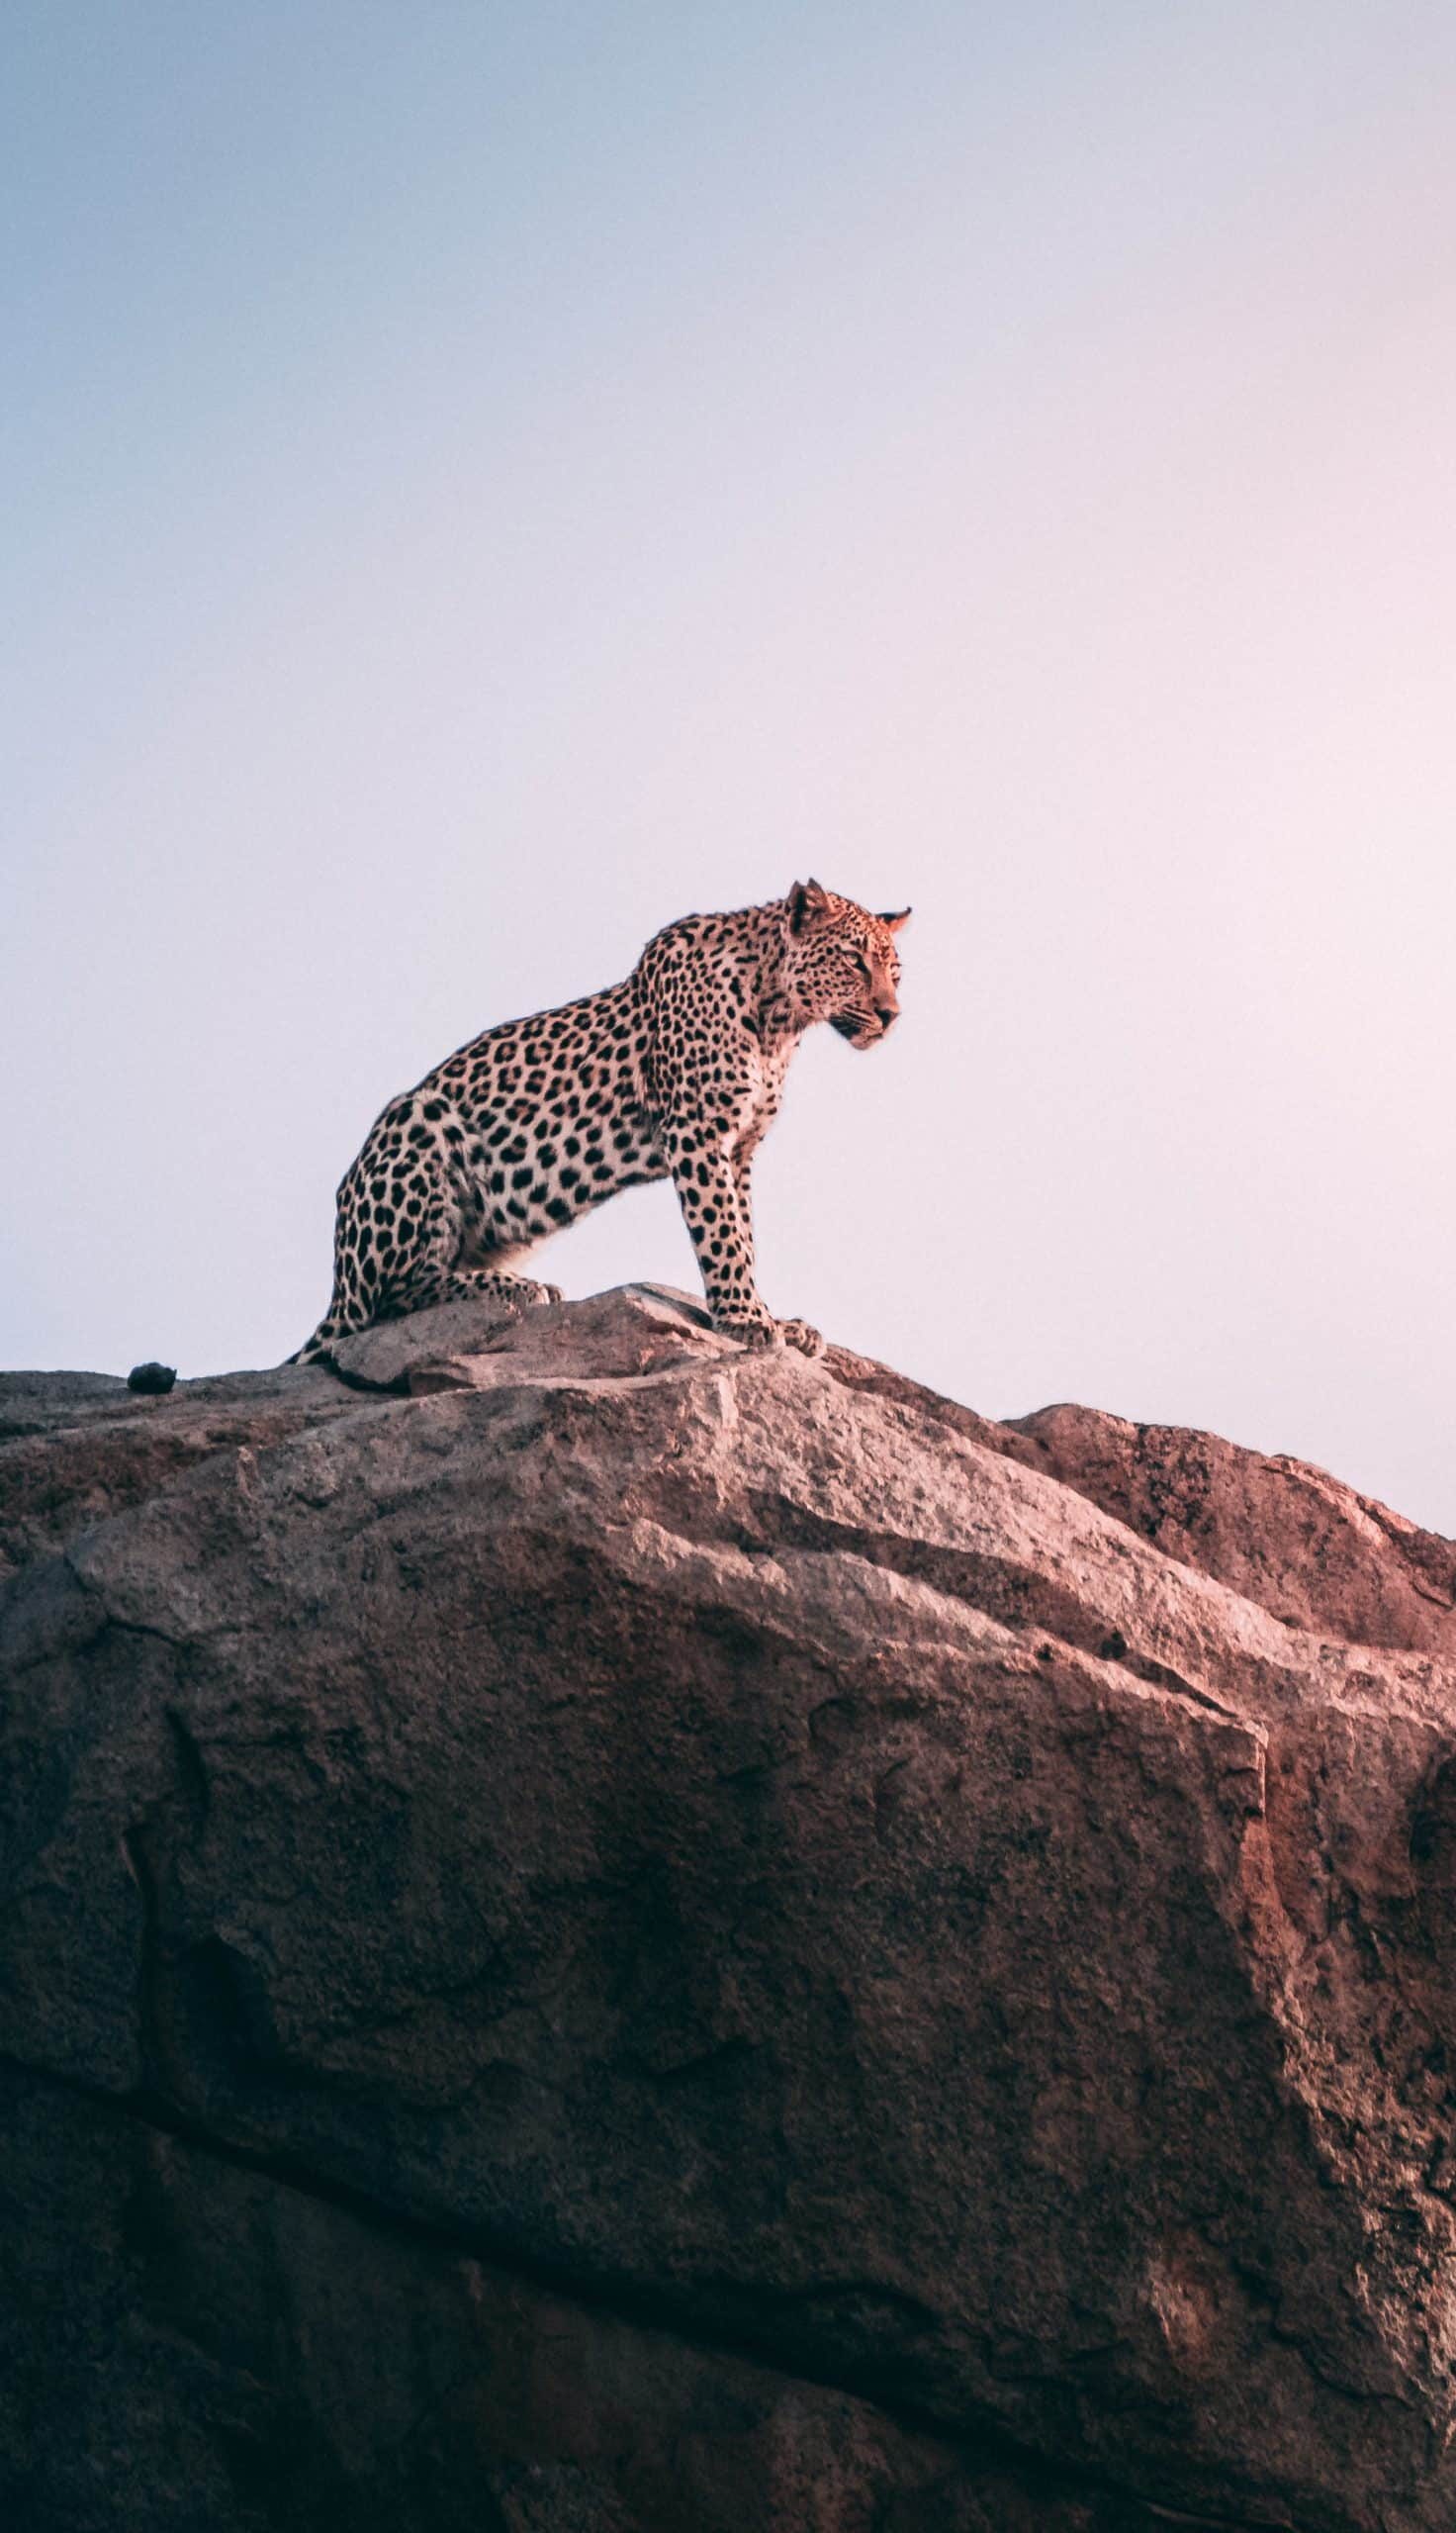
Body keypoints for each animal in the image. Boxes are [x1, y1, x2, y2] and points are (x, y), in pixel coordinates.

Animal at [292, 887, 911, 1377]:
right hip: (418, 1122)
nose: (892, 1015)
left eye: (895, 970)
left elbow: (745, 1235)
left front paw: (768, 1314)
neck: (779, 1022)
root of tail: (337, 1282)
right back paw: (520, 1290)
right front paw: (746, 1320)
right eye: (854, 961)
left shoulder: (740, 1150)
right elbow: (722, 1236)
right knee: (390, 1300)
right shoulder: (697, 1132)